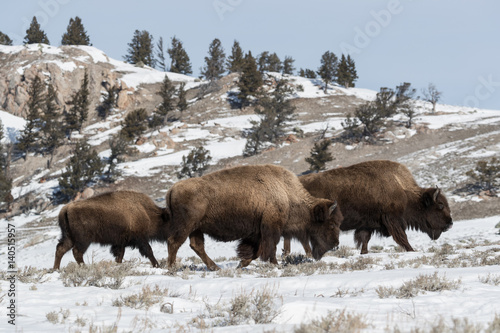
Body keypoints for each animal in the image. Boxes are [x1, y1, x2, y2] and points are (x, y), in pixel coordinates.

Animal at [164, 163, 344, 270]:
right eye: (331, 224)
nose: (335, 244)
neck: (286, 193)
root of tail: (172, 189)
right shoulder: (271, 227)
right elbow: (271, 247)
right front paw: (275, 264)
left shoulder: (257, 232)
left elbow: (255, 251)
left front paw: (241, 264)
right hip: (186, 225)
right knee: (174, 242)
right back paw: (172, 268)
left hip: (196, 228)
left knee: (196, 246)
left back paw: (215, 267)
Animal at [286, 160, 454, 253]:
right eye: (440, 205)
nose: (450, 223)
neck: (401, 188)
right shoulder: (393, 220)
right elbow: (402, 237)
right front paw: (412, 250)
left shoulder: (367, 224)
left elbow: (365, 239)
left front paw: (364, 253)